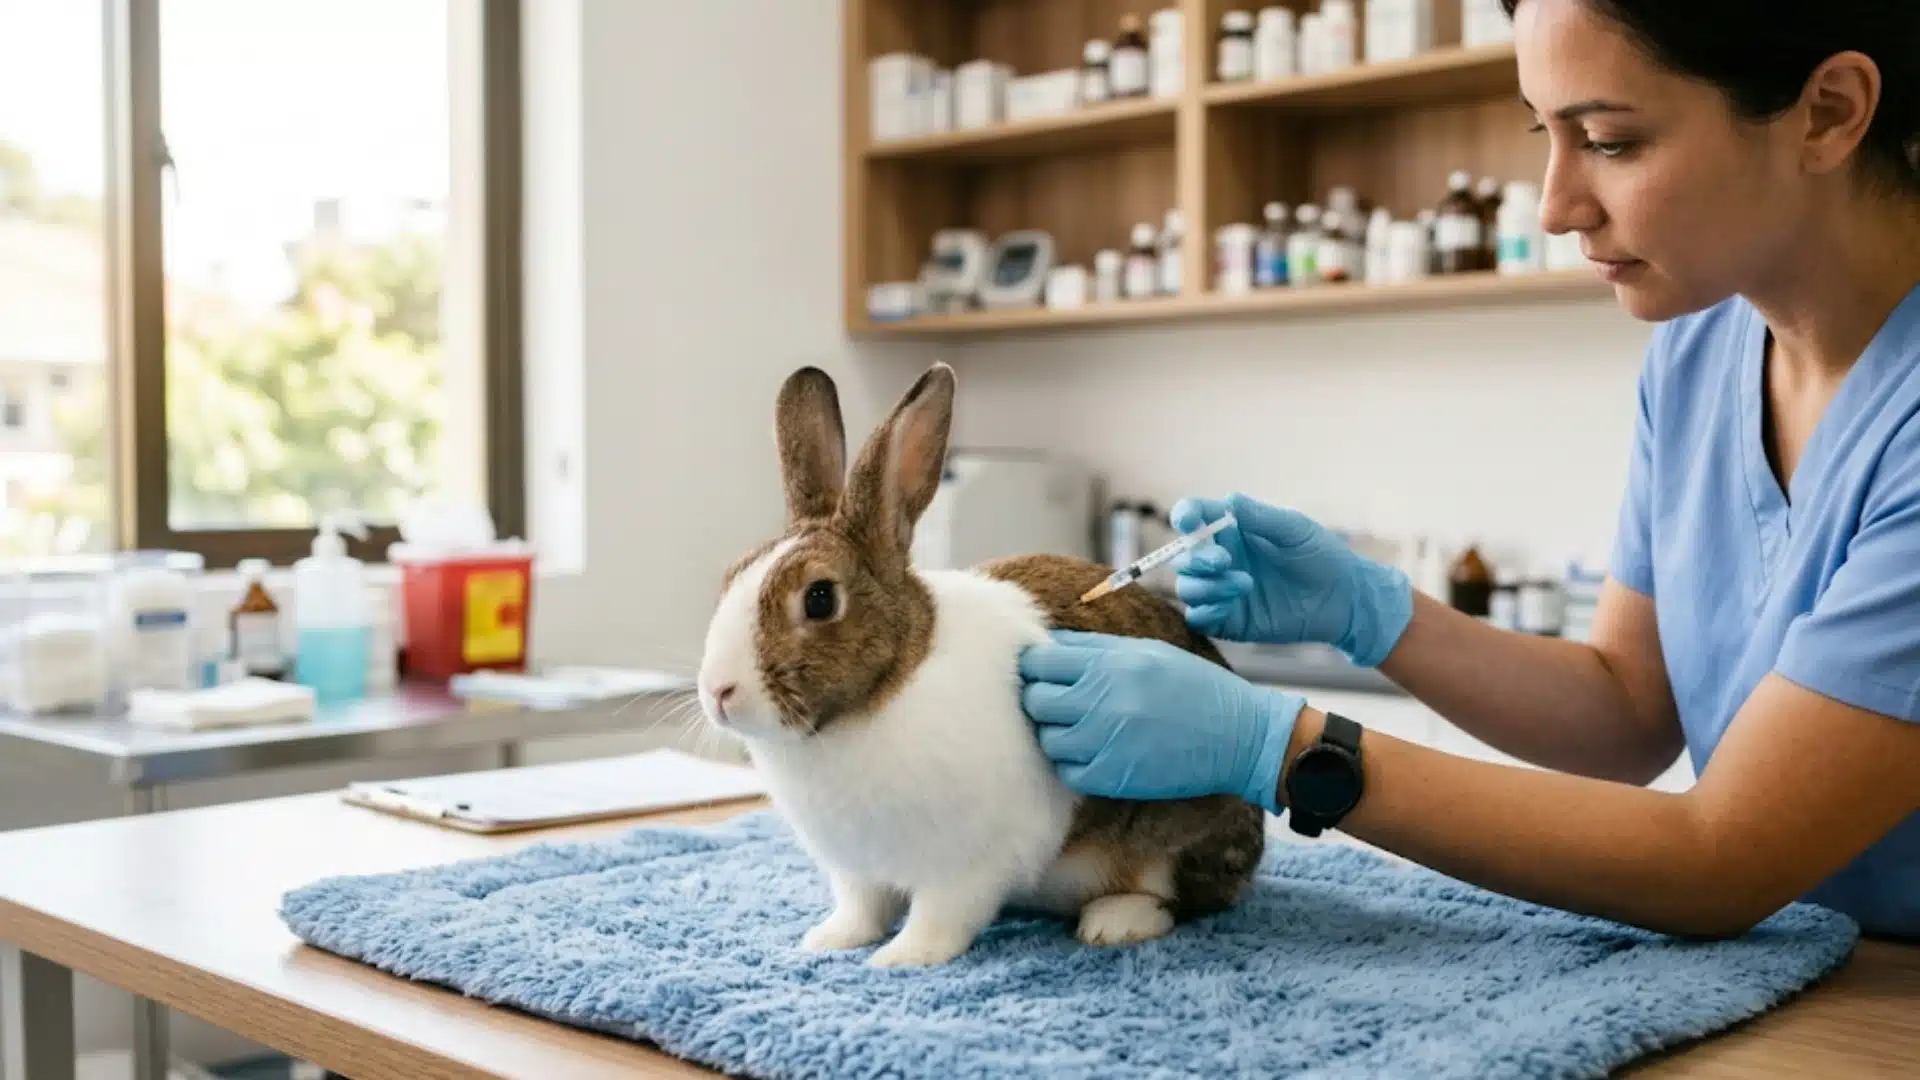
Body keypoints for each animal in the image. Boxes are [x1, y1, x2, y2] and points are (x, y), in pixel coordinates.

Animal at [694, 362, 1265, 968]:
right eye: (731, 576)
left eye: (820, 599)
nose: (719, 692)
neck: (886, 691)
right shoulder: (857, 873)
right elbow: (861, 910)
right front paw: (829, 940)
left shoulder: (966, 865)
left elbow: (940, 916)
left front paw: (901, 958)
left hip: (1171, 837)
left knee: (1178, 898)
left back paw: (1114, 922)